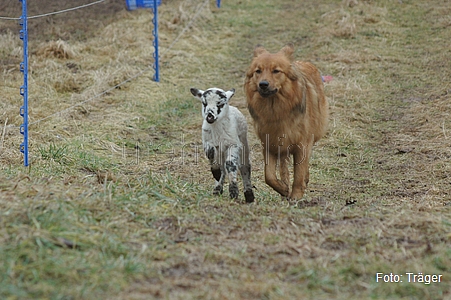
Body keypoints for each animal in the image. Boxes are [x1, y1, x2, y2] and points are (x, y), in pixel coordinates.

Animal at [245, 43, 330, 200]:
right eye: (258, 71)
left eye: (276, 71)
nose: (263, 84)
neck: (277, 110)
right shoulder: (269, 143)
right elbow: (269, 175)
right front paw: (283, 188)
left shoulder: (302, 144)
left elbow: (299, 173)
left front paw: (296, 196)